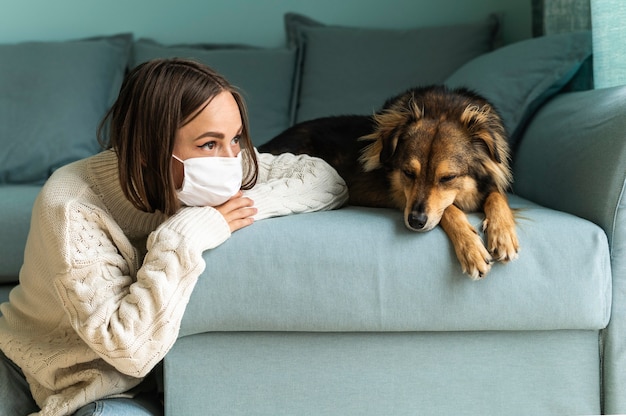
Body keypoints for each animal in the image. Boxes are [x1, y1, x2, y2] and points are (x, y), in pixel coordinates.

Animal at [258, 85, 516, 280]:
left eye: (447, 178)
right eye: (408, 173)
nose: (415, 222)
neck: (442, 108)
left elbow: (496, 195)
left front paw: (503, 235)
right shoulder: (399, 194)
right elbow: (449, 209)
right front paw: (471, 248)